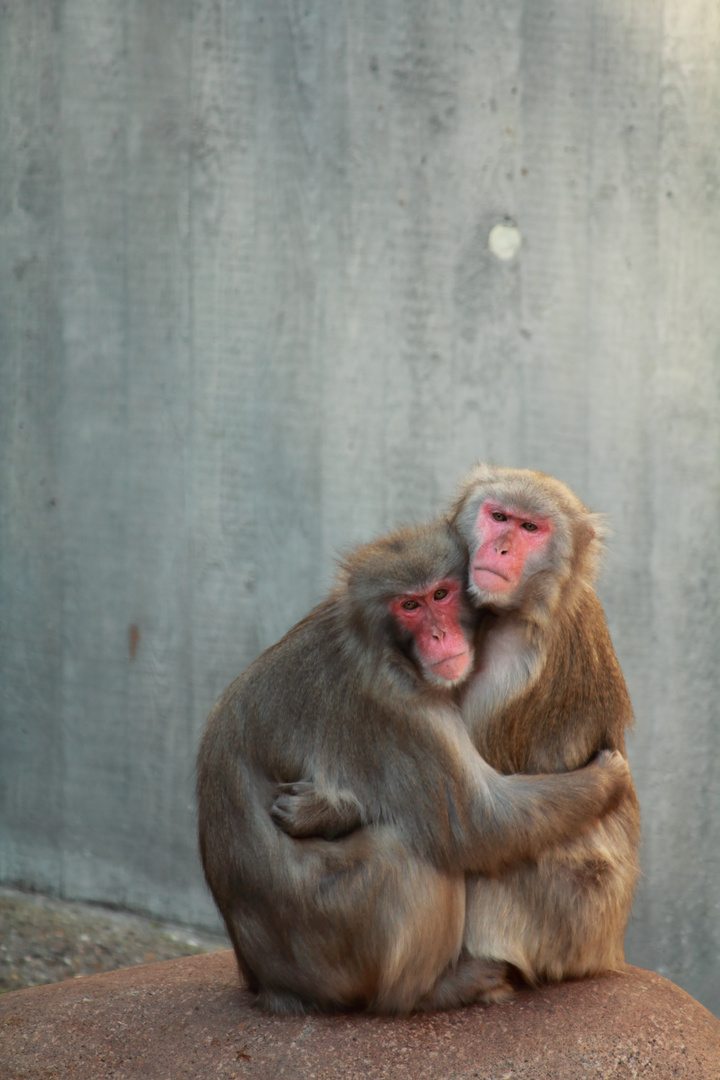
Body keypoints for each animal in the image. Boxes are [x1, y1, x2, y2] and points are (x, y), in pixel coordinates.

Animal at [197, 518, 630, 1015]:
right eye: (409, 605)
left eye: (440, 595)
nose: (439, 636)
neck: (380, 643)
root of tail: (268, 985)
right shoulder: (397, 708)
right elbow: (479, 825)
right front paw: (608, 780)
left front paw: (323, 811)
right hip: (332, 946)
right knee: (408, 854)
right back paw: (431, 990)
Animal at [451, 460, 643, 989]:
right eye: (499, 516)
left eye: (530, 529)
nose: (500, 548)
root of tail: (607, 951)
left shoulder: (513, 667)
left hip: (561, 922)